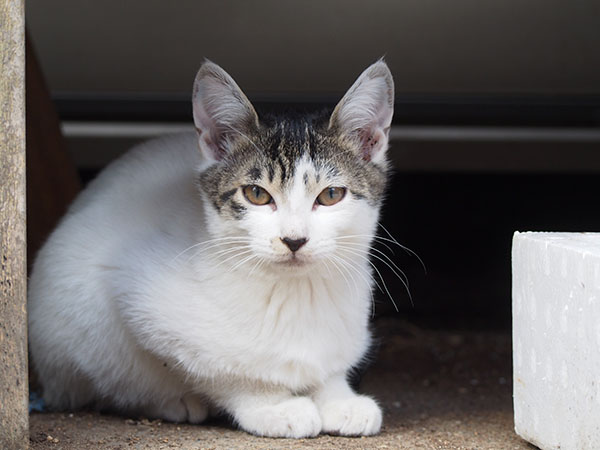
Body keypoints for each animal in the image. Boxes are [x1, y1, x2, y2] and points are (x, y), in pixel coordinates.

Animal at [28, 59, 394, 440]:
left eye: (331, 195)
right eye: (256, 194)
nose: (294, 239)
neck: (293, 292)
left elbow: (329, 367)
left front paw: (338, 397)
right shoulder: (129, 287)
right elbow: (220, 369)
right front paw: (273, 405)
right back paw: (172, 402)